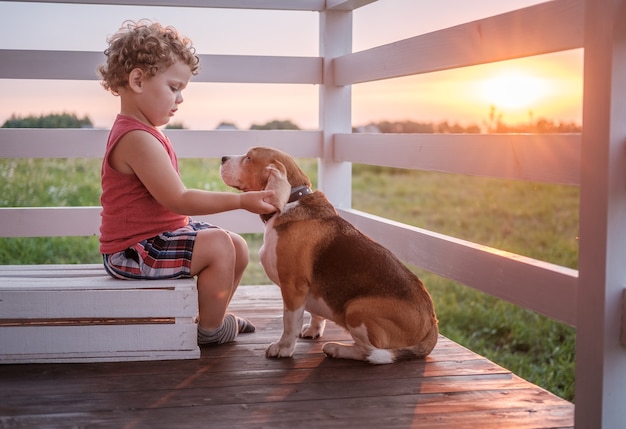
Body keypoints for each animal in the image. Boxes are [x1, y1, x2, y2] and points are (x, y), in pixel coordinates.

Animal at [222, 146, 436, 362]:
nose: (222, 158)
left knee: (368, 352)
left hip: (355, 309)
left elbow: (289, 322)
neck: (293, 200)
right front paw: (313, 329)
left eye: (249, 158)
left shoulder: (293, 286)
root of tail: (431, 321)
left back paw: (337, 348)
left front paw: (283, 347)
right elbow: (315, 315)